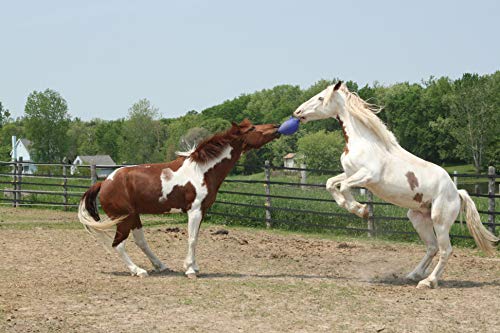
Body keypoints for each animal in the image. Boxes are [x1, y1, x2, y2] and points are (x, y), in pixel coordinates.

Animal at [80, 119, 280, 278]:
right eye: (252, 128)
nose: (277, 127)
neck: (202, 171)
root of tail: (104, 182)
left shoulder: (202, 211)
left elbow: (196, 237)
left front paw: (194, 267)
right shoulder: (194, 210)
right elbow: (192, 239)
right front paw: (190, 270)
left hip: (133, 217)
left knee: (140, 242)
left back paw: (160, 265)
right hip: (123, 219)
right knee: (118, 245)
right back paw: (138, 271)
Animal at [292, 81, 498, 288]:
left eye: (320, 98)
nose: (297, 112)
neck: (365, 142)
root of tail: (457, 192)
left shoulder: (367, 176)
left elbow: (343, 187)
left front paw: (361, 210)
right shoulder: (350, 173)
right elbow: (330, 183)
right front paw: (356, 208)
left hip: (440, 221)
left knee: (445, 250)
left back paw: (428, 282)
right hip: (418, 217)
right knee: (432, 247)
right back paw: (413, 275)